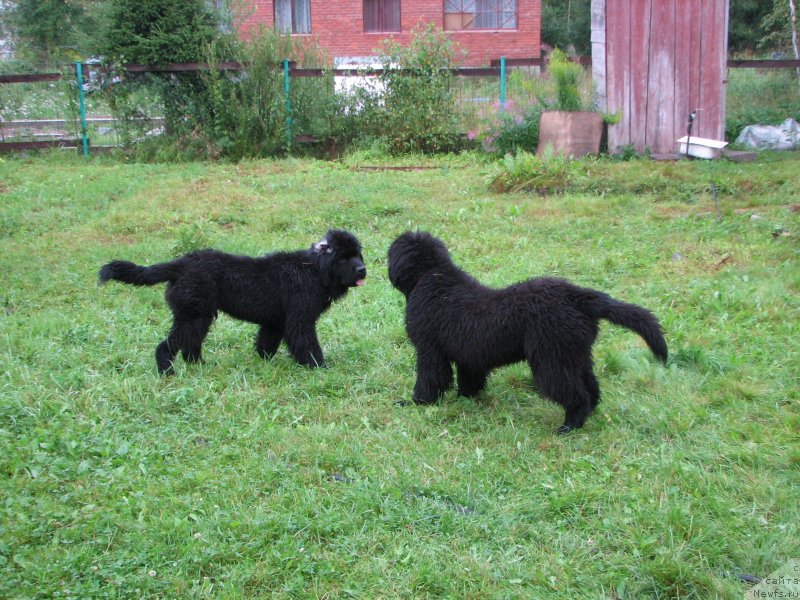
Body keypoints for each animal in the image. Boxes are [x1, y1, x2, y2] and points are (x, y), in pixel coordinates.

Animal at [97, 231, 368, 376]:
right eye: (344, 258)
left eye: (358, 255)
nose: (363, 270)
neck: (313, 270)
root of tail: (180, 263)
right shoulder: (299, 320)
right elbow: (308, 345)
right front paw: (319, 368)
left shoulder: (275, 322)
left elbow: (266, 344)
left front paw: (263, 363)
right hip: (193, 315)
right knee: (168, 346)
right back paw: (168, 373)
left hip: (196, 316)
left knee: (190, 346)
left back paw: (200, 367)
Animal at [388, 232, 668, 434]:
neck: (433, 276)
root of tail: (578, 297)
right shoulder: (470, 355)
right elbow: (469, 381)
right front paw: (467, 400)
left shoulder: (429, 349)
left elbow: (431, 379)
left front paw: (415, 403)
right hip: (574, 355)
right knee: (591, 387)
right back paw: (588, 416)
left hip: (551, 360)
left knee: (575, 395)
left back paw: (568, 427)